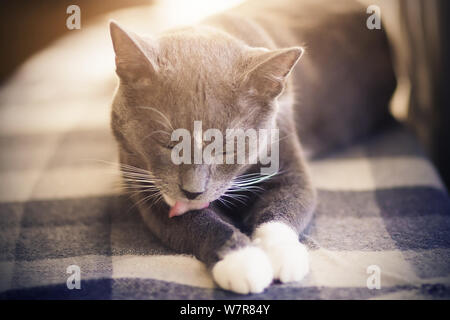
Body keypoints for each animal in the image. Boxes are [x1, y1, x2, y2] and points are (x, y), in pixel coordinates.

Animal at [108, 0, 394, 296]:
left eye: (226, 148)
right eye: (168, 144)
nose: (192, 191)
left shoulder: (285, 147)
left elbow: (289, 201)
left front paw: (283, 255)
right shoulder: (144, 186)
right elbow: (197, 222)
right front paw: (243, 263)